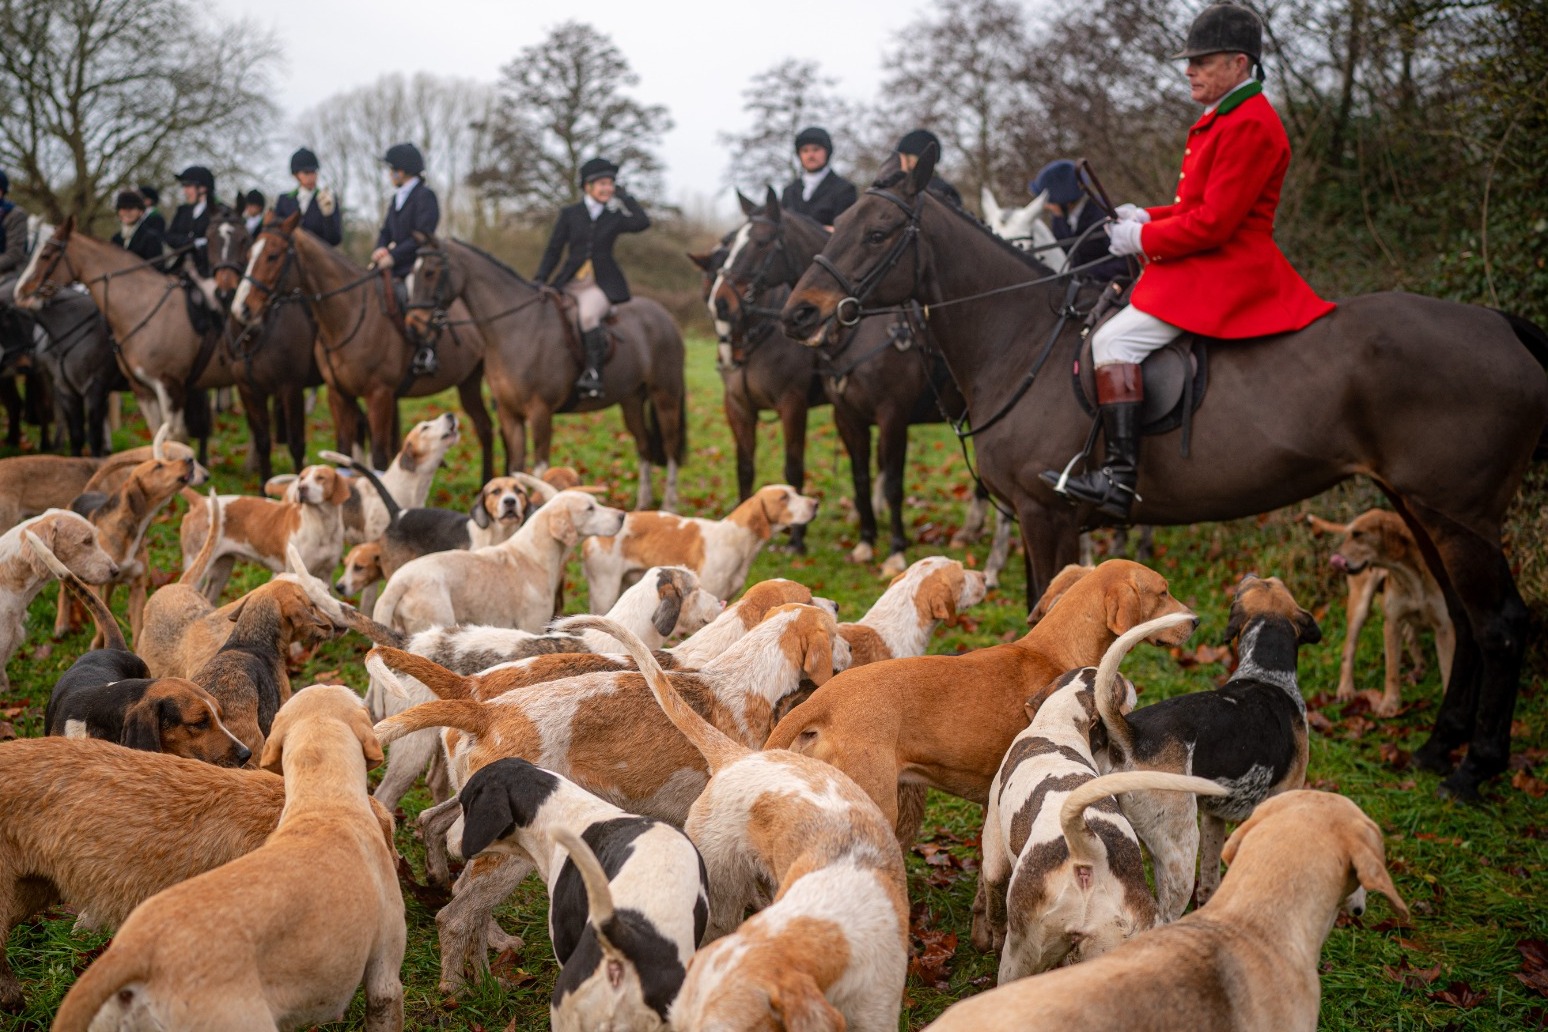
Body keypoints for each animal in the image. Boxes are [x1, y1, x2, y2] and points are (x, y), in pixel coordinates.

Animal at [229, 213, 492, 485]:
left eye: (273, 255)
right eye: (248, 254)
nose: (241, 308)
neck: (349, 316)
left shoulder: (377, 395)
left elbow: (378, 457)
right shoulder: (337, 393)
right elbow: (342, 451)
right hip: (469, 383)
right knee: (485, 428)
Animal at [405, 233, 684, 507]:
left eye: (430, 272)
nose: (413, 324)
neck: (517, 328)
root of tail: (665, 316)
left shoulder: (540, 411)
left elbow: (539, 472)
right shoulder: (509, 413)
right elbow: (516, 468)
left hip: (665, 397)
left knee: (670, 447)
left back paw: (669, 505)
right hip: (632, 400)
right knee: (644, 445)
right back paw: (643, 504)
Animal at [715, 187, 1015, 581]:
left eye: (761, 241)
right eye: (731, 242)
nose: (720, 303)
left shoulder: (884, 415)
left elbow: (890, 483)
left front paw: (894, 550)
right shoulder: (842, 415)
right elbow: (857, 475)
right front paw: (865, 540)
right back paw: (969, 530)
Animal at [786, 153, 1548, 804]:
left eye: (876, 231)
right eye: (836, 224)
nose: (800, 313)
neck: (1023, 340)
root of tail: (1500, 324)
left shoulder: (1045, 514)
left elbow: (1044, 604)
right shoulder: (1039, 518)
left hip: (1458, 515)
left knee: (1500, 624)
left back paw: (1473, 770)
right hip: (1421, 509)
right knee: (1462, 616)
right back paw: (1437, 748)